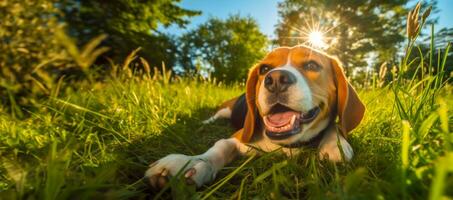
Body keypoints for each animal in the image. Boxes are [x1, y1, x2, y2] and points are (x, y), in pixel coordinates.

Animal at [145, 45, 364, 189]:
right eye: (264, 69)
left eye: (312, 65)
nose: (275, 79)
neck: (286, 145)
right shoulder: (239, 136)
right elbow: (220, 146)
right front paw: (193, 163)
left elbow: (335, 126)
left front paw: (334, 145)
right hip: (225, 110)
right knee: (214, 117)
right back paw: (204, 122)